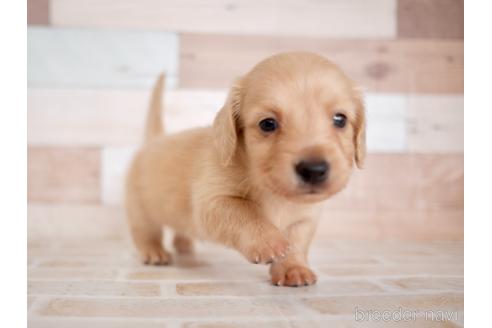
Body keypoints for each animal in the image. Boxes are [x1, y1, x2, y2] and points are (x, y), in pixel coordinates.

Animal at [126, 52, 366, 288]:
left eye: (340, 119)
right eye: (267, 124)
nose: (314, 169)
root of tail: (153, 140)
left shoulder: (305, 219)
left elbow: (297, 243)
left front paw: (293, 268)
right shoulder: (213, 202)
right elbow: (245, 212)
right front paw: (268, 241)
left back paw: (184, 246)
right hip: (140, 210)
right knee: (145, 233)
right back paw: (154, 252)